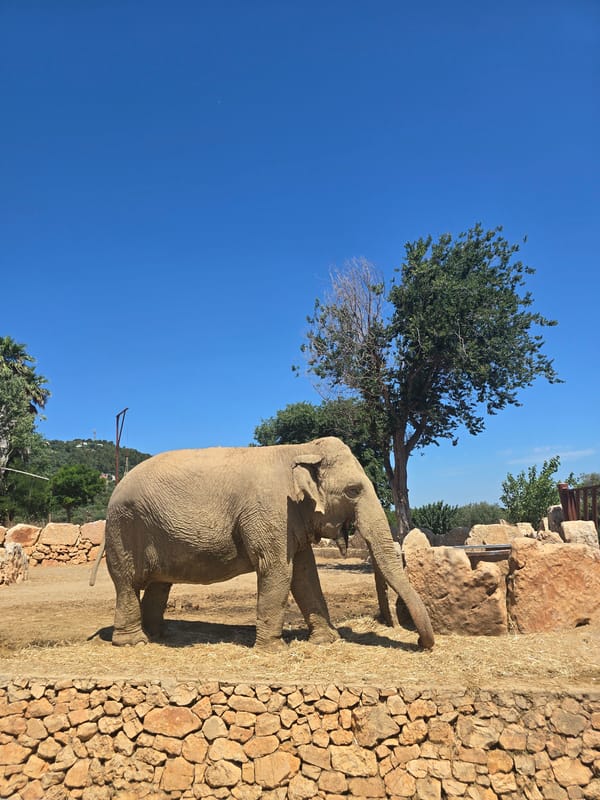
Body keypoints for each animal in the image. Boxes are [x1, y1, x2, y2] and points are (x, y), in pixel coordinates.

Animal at [92, 436, 434, 651]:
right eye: (353, 490)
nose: (421, 643)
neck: (301, 449)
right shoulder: (272, 511)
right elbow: (278, 570)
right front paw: (274, 649)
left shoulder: (291, 518)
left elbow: (305, 575)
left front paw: (328, 640)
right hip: (125, 529)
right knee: (127, 583)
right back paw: (134, 642)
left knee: (159, 584)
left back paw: (159, 635)